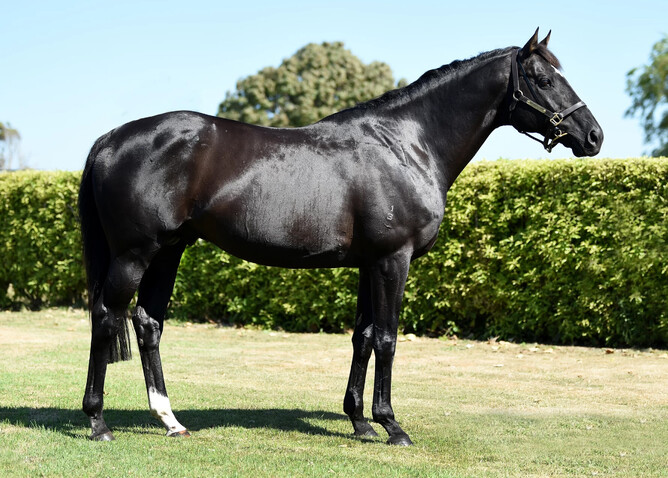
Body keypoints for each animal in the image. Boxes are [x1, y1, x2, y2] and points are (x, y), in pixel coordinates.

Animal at [79, 29, 602, 445]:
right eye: (544, 79)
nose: (594, 136)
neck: (407, 145)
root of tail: (111, 138)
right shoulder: (393, 260)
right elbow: (388, 338)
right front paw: (392, 425)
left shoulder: (370, 263)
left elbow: (363, 337)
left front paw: (361, 422)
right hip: (134, 254)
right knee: (106, 318)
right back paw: (98, 422)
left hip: (168, 252)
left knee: (148, 323)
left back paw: (169, 420)